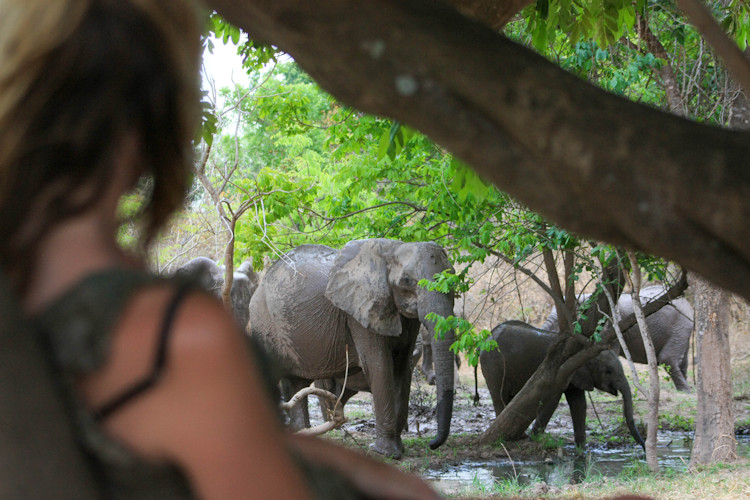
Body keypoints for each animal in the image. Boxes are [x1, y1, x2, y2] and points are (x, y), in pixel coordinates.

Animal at [248, 239, 456, 459]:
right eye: (407, 280)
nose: (432, 444)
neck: (391, 250)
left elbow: (402, 366)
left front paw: (398, 450)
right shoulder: (359, 315)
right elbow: (379, 367)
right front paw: (385, 453)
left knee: (296, 382)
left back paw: (302, 432)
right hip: (263, 323)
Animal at [480, 320, 645, 450]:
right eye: (608, 372)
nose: (644, 449)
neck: (585, 348)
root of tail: (488, 335)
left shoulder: (576, 374)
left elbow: (579, 404)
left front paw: (581, 450)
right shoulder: (558, 372)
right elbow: (552, 402)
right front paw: (535, 439)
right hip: (493, 364)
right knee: (499, 396)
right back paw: (518, 437)